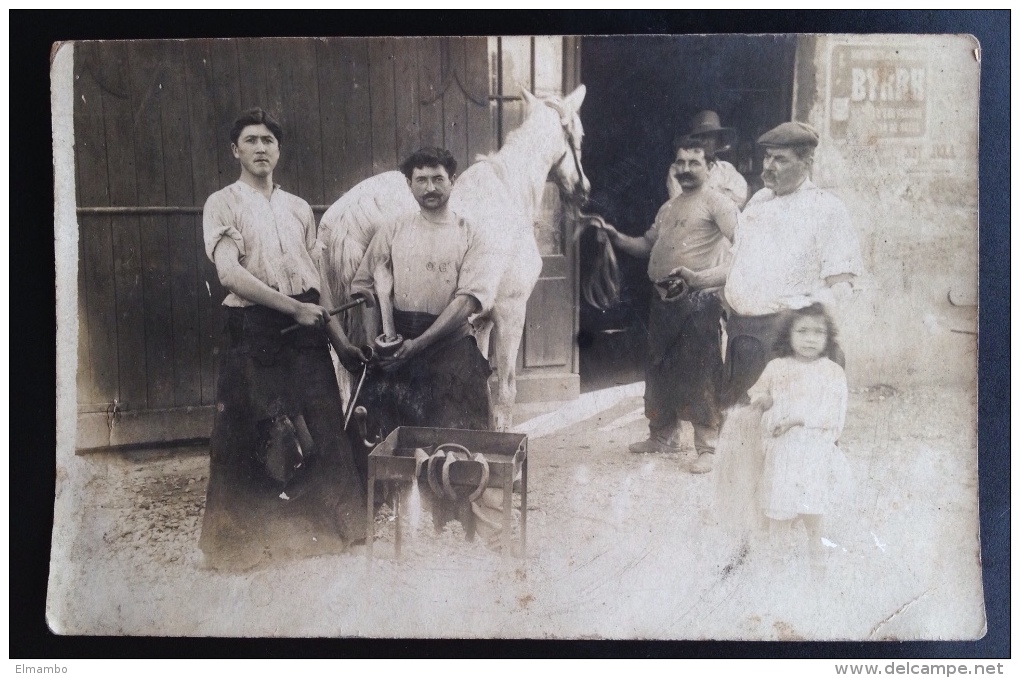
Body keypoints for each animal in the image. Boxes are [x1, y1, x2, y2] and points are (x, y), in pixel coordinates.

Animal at [318, 84, 591, 430]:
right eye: (579, 135)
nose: (583, 190)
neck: (508, 189)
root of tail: (348, 215)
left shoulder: (481, 316)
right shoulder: (511, 310)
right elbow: (506, 388)